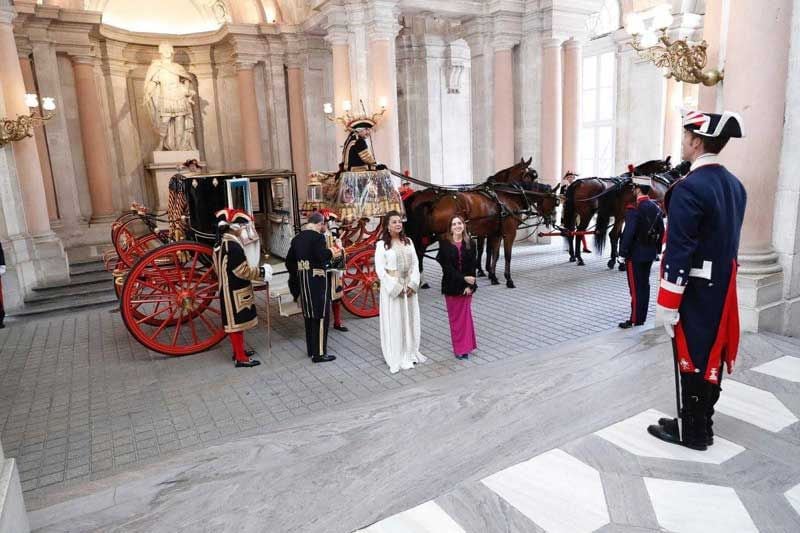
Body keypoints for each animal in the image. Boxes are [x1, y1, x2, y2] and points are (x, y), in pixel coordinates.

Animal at [406, 179, 556, 286]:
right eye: (555, 203)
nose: (553, 220)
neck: (508, 197)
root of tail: (433, 203)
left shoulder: (495, 234)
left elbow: (495, 254)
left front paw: (493, 276)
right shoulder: (509, 234)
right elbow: (507, 256)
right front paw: (508, 279)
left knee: (422, 252)